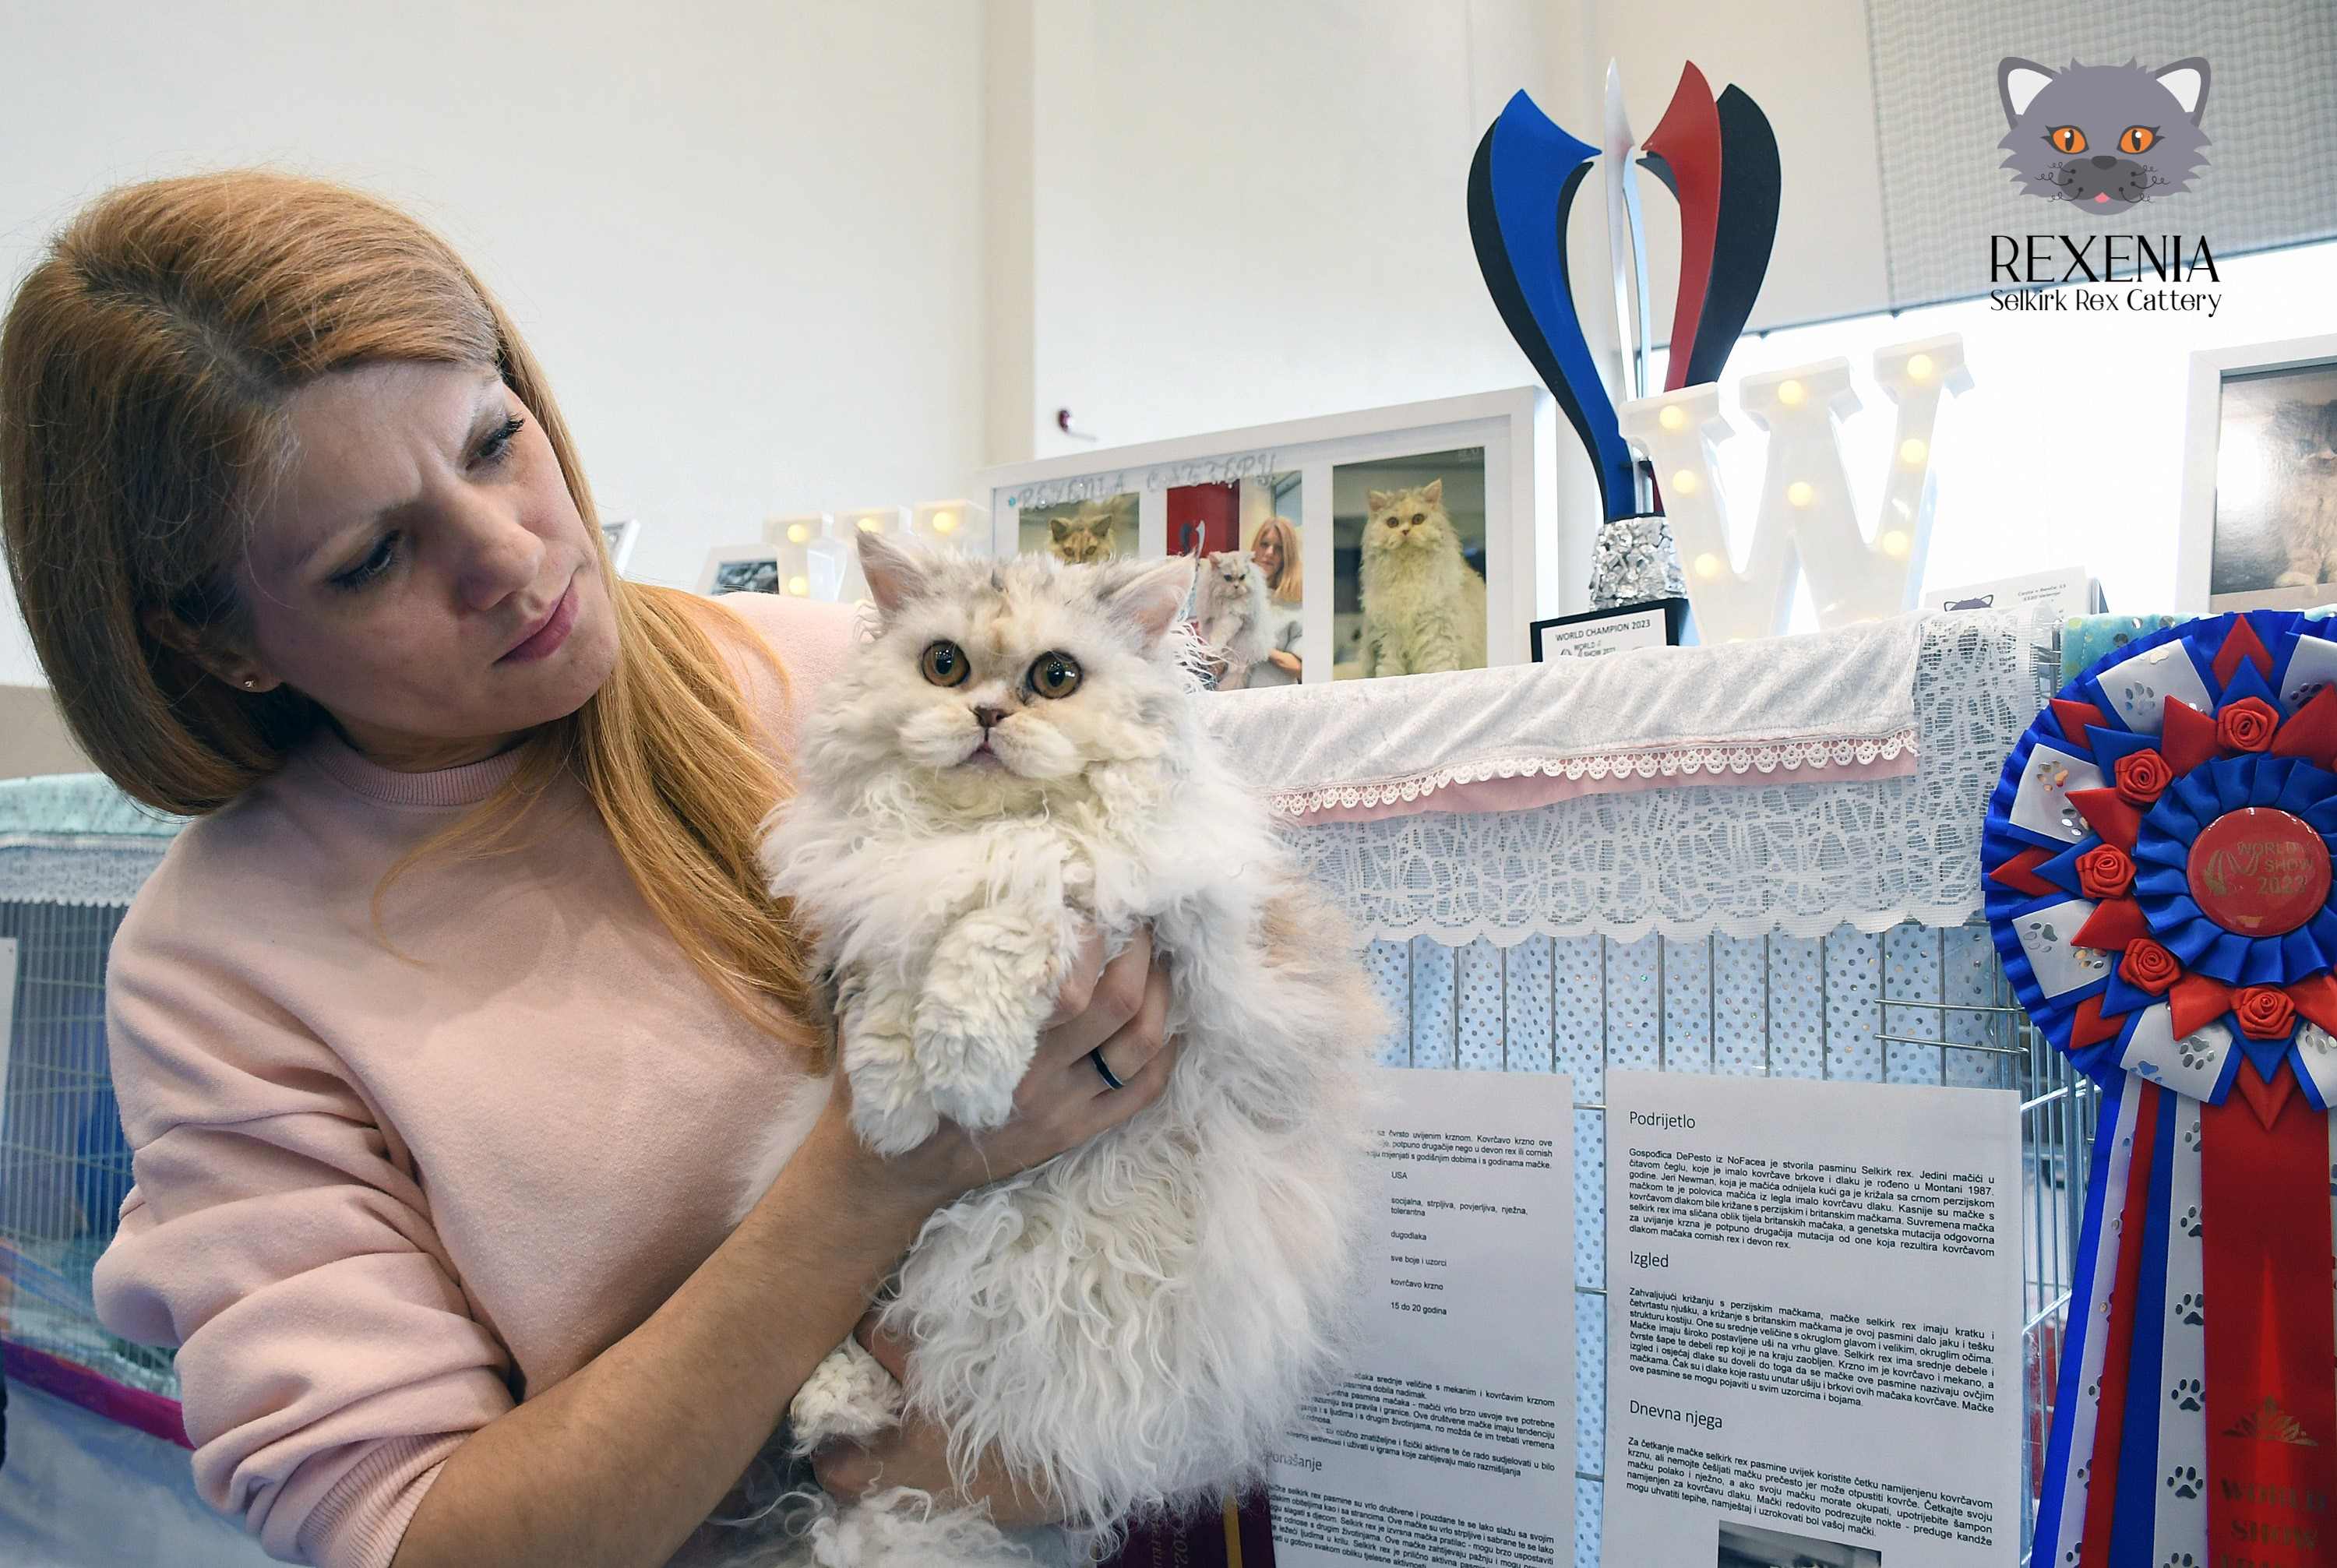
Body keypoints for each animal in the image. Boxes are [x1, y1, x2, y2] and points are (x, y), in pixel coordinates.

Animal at [1192, 549, 1272, 691]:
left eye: (1242, 577)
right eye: (1228, 578)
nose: (1236, 586)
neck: (1227, 600)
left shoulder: (1234, 618)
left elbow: (1221, 634)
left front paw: (1214, 649)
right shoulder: (1214, 619)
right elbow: (1216, 636)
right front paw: (1212, 650)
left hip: (1246, 646)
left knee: (1238, 665)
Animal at [1357, 479, 1488, 678]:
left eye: (1418, 519)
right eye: (1392, 522)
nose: (1405, 531)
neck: (1408, 575)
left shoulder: (1437, 633)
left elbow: (1439, 666)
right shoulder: (1387, 639)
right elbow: (1389, 672)